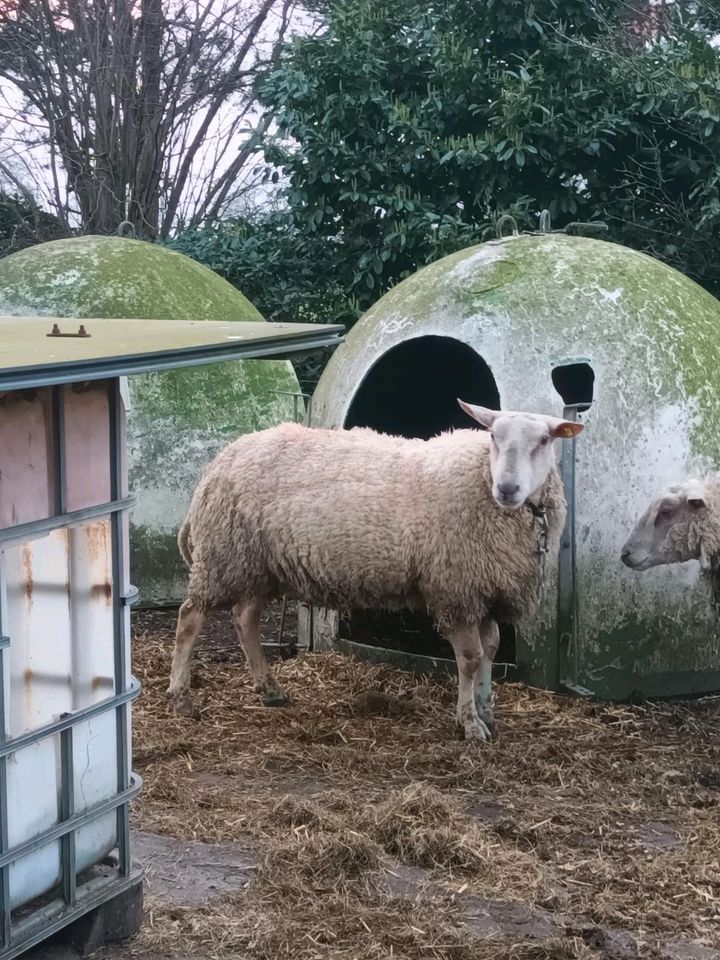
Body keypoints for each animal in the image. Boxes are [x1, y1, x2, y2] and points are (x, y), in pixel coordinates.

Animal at [169, 402, 584, 740]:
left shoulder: (484, 590)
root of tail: (222, 458)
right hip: (223, 555)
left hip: (260, 564)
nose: (507, 488)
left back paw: (269, 689)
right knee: (190, 617)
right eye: (494, 437)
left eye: (544, 440)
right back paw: (180, 696)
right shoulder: (455, 589)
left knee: (244, 619)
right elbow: (469, 658)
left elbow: (491, 651)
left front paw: (486, 712)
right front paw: (469, 723)